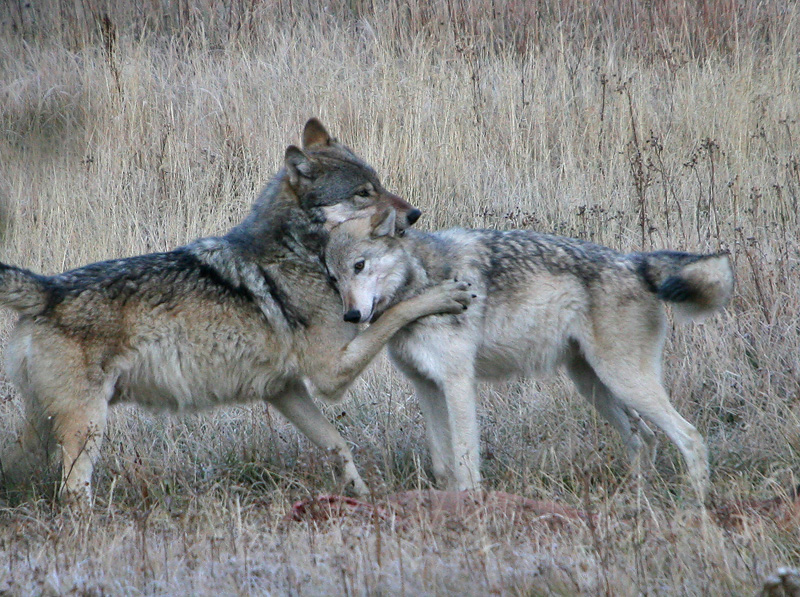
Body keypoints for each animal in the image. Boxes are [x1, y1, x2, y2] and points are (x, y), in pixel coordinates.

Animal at [0, 118, 472, 500]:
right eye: (363, 193)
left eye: (379, 183)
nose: (415, 214)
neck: (301, 252)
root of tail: (46, 288)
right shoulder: (330, 373)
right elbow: (395, 314)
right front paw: (446, 294)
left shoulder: (284, 388)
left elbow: (336, 444)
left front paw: (360, 495)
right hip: (86, 428)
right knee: (72, 492)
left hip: (45, 429)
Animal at [324, 212, 732, 500]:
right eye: (333, 278)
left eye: (359, 266)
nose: (351, 316)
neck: (420, 283)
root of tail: (636, 262)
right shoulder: (426, 386)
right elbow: (443, 465)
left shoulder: (457, 382)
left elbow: (466, 460)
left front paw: (471, 507)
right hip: (595, 386)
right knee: (644, 439)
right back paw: (636, 500)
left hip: (624, 382)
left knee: (691, 438)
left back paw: (692, 508)